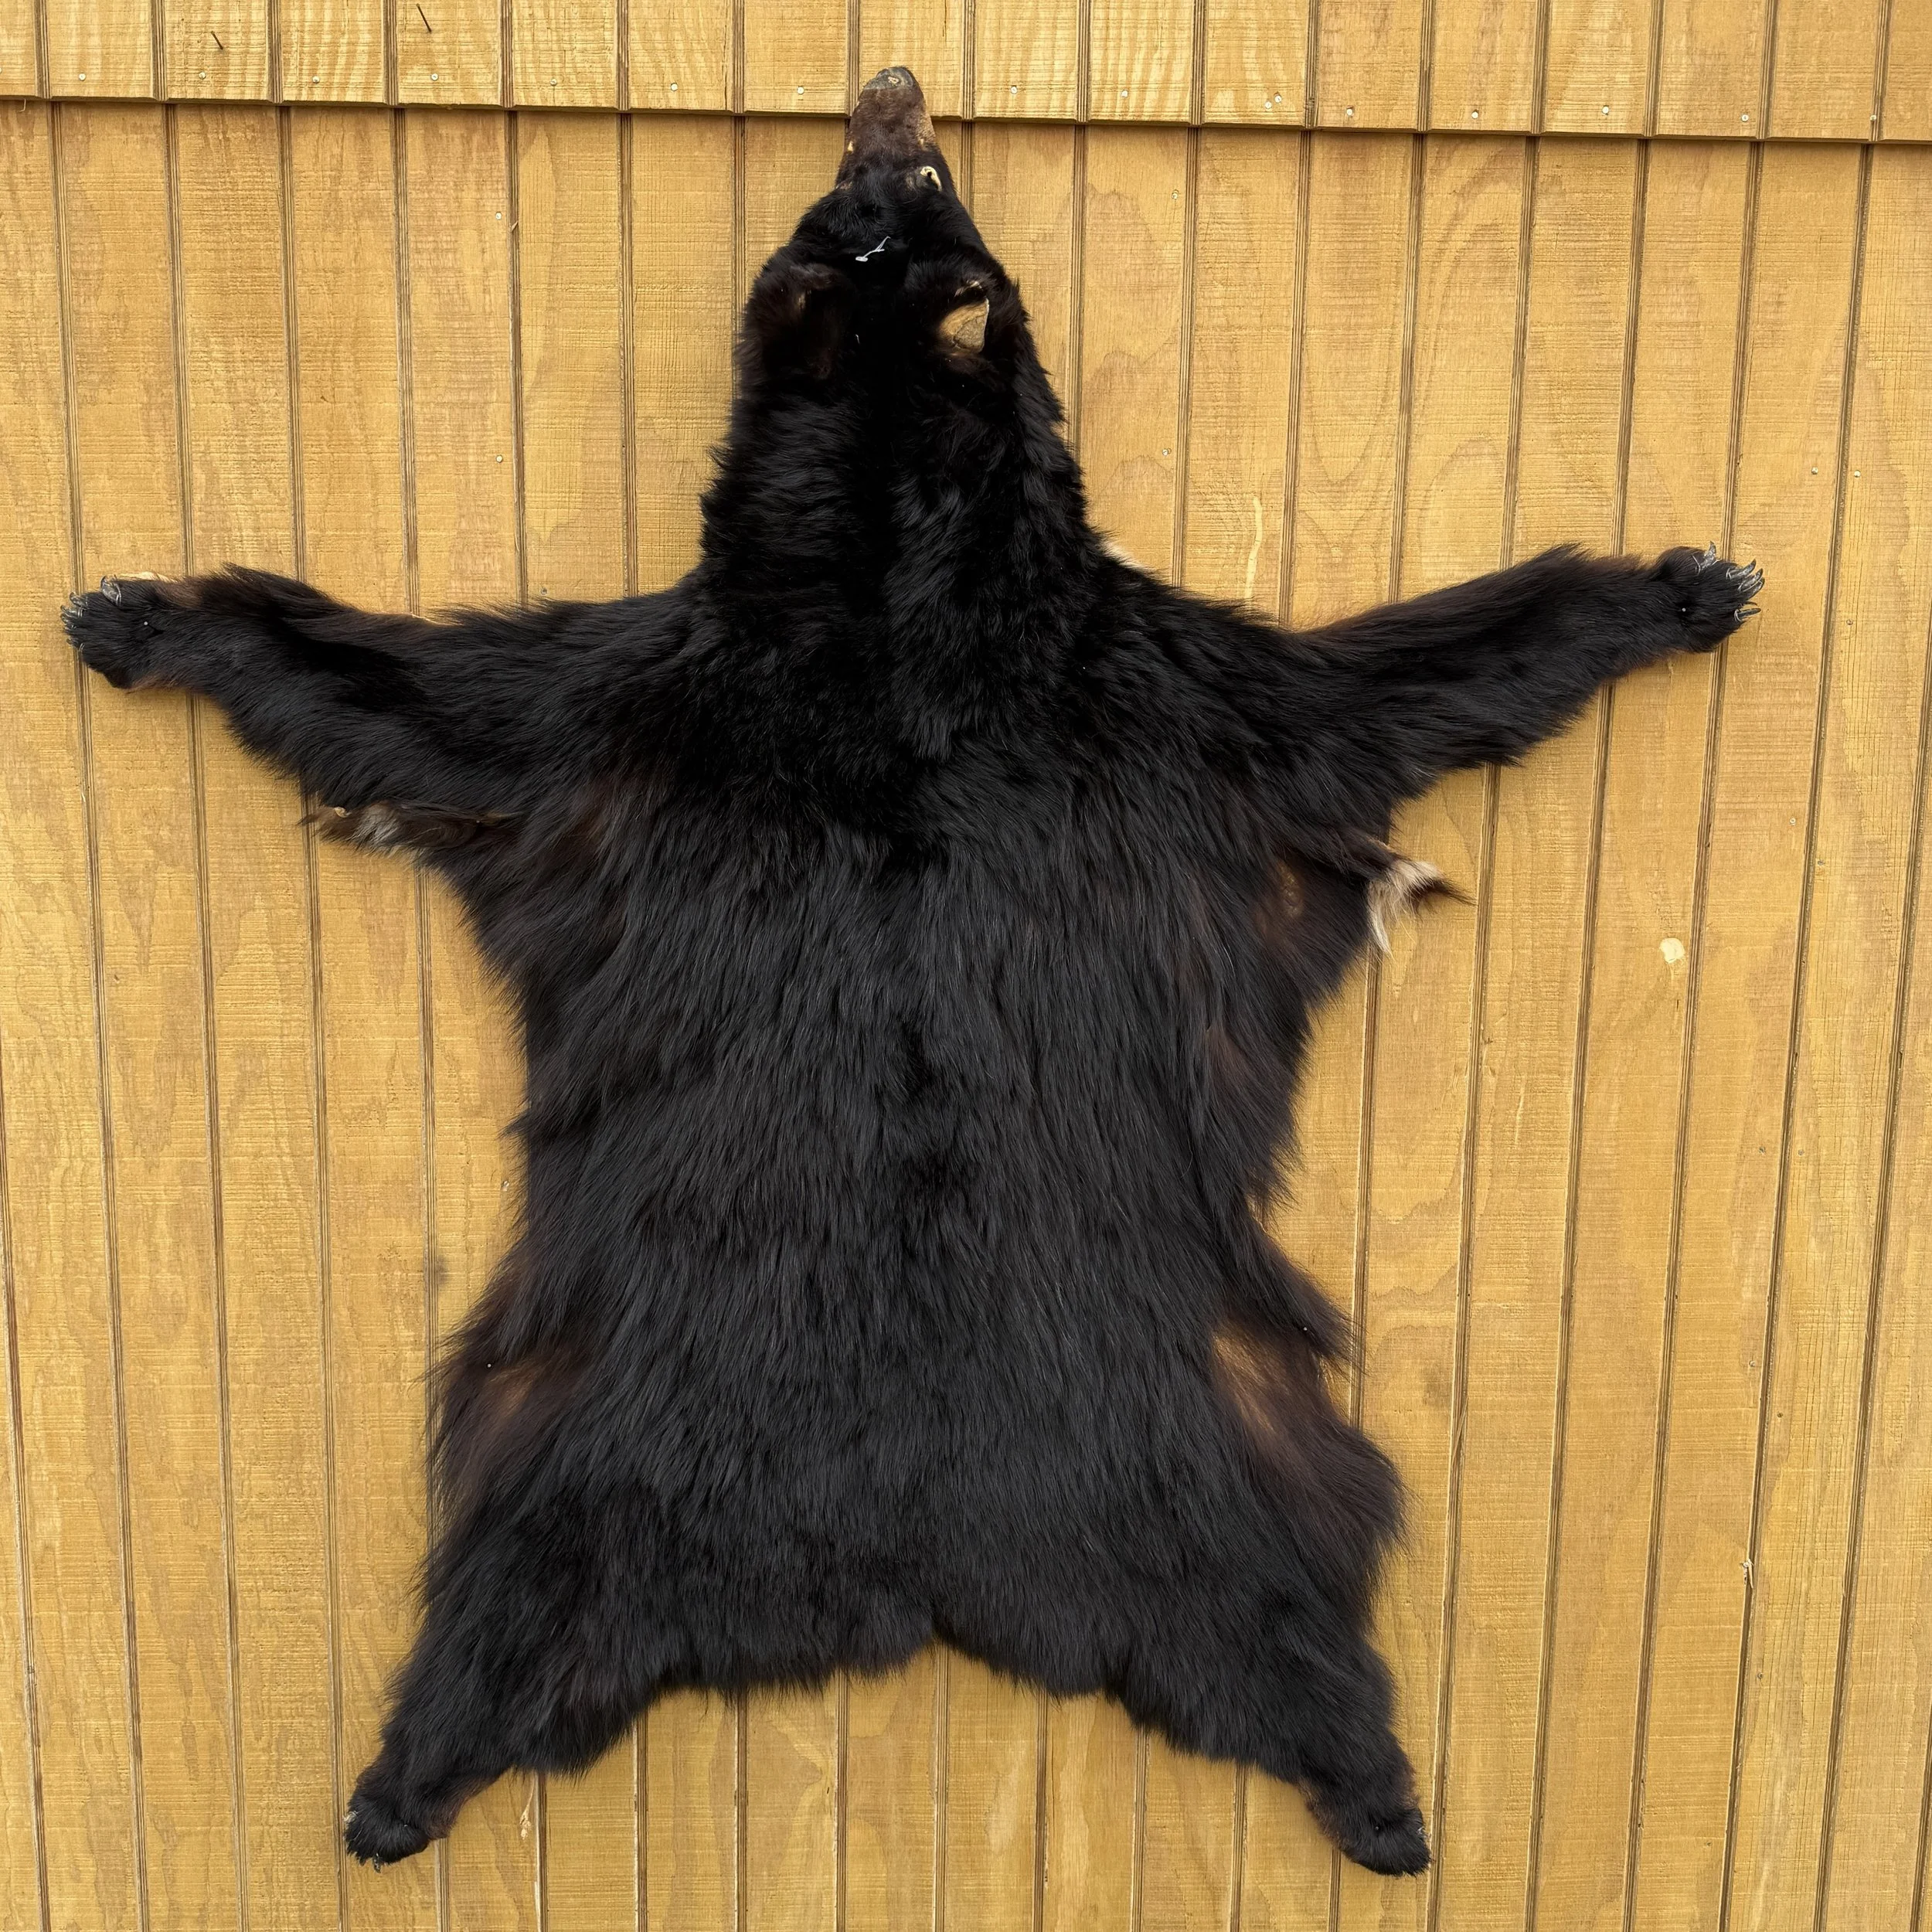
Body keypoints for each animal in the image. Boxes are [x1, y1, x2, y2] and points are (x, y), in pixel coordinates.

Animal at [62, 65, 1763, 1879]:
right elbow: (396, 694)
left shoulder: (1181, 699)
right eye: (858, 191)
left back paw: (1379, 1800)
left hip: (1213, 1455)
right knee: (501, 1612)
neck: (892, 606)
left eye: (919, 181)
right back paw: (396, 1788)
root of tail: (909, 1558)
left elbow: (1403, 680)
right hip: (583, 1460)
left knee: (1298, 1617)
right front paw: (140, 616)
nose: (888, 85)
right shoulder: (620, 708)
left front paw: (1682, 585)